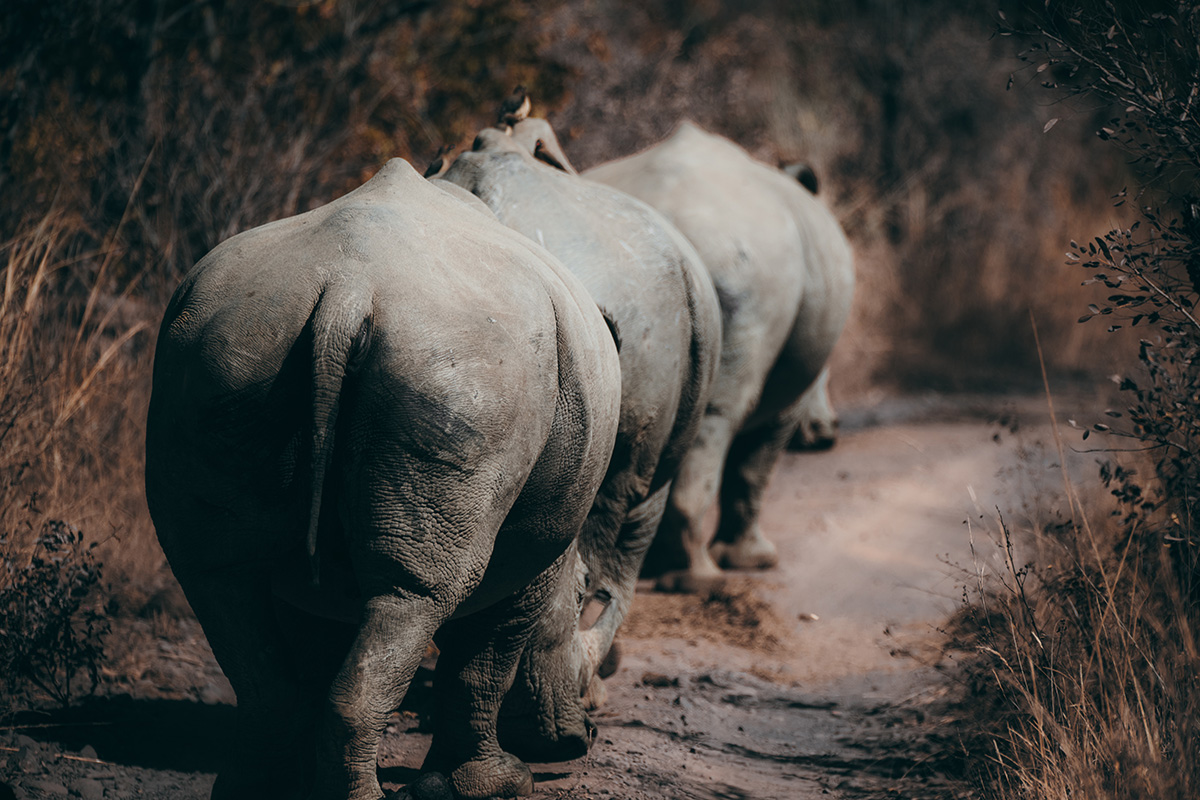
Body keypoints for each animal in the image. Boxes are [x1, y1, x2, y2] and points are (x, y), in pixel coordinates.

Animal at [145, 158, 621, 800]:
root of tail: (347, 291)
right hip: (463, 370)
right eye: (581, 596)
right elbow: (487, 660)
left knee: (217, 573)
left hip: (225, 349)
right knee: (418, 594)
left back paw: (252, 788)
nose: (583, 738)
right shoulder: (539, 548)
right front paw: (496, 784)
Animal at [586, 121, 855, 591]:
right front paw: (755, 562)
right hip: (748, 262)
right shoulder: (791, 390)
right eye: (825, 377)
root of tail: (667, 215)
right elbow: (754, 466)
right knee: (719, 417)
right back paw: (698, 580)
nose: (826, 435)